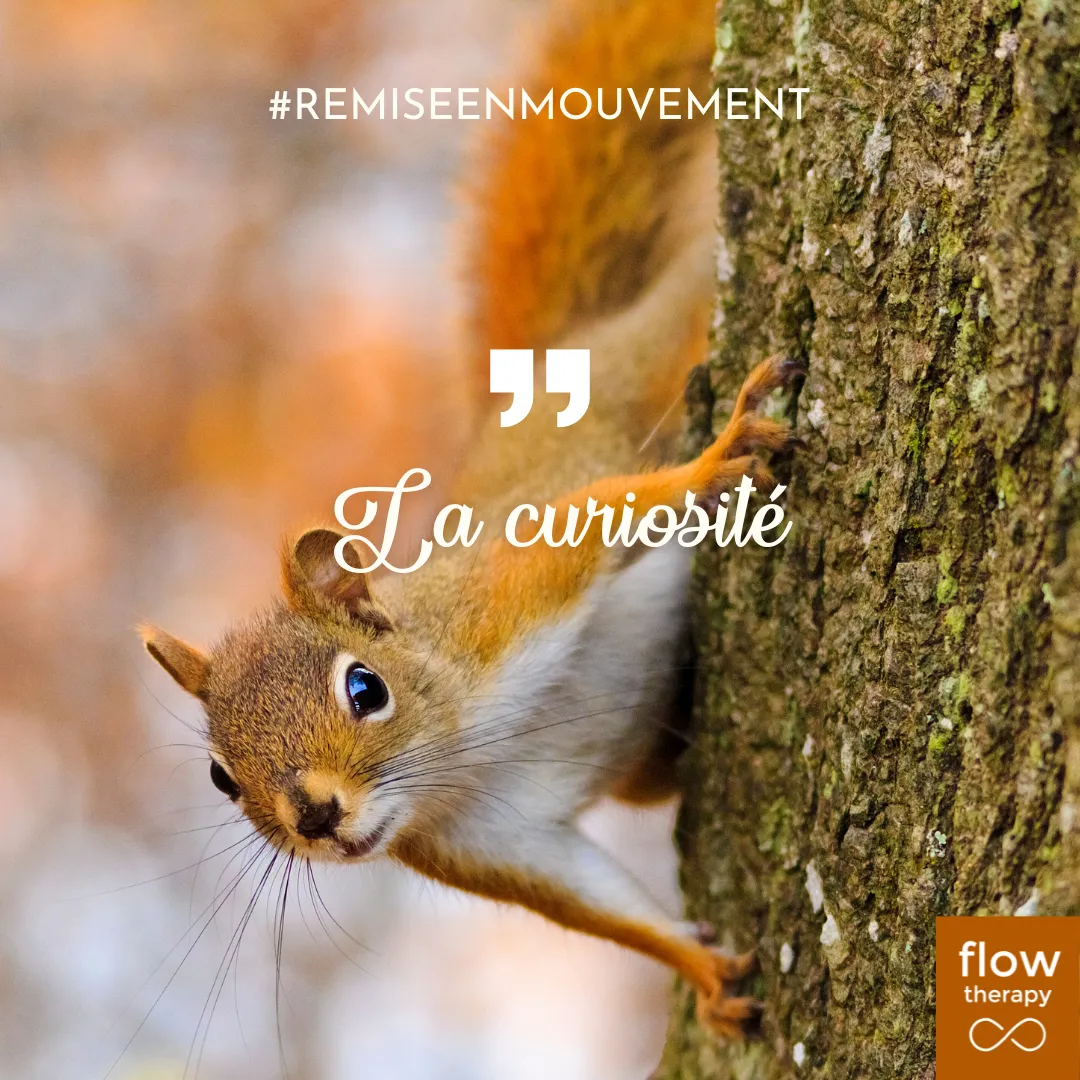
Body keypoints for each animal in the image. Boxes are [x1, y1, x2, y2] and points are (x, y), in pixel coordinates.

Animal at [140, 0, 799, 1043]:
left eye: (363, 688)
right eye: (219, 778)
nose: (315, 818)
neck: (457, 755)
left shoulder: (507, 599)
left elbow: (603, 519)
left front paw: (716, 457)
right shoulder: (489, 842)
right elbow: (598, 907)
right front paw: (701, 970)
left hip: (647, 357)